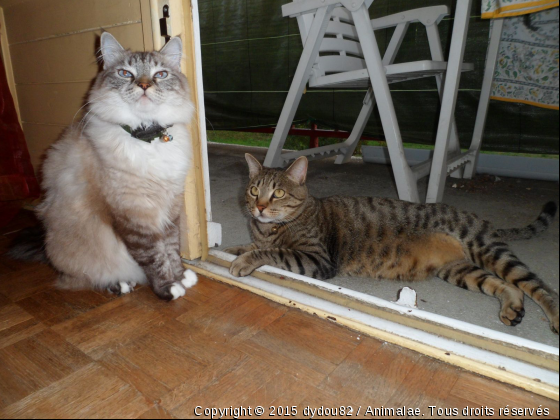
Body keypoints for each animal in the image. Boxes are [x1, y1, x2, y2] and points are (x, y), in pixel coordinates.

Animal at [8, 34, 197, 300]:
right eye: (125, 73)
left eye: (160, 74)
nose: (144, 86)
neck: (147, 139)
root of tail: (46, 248)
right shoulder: (133, 214)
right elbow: (153, 256)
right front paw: (168, 288)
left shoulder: (170, 206)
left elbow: (171, 248)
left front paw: (181, 277)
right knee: (86, 277)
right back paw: (121, 284)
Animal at [226, 153, 560, 334]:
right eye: (254, 190)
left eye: (279, 193)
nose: (259, 207)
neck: (267, 228)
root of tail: (481, 219)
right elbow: (250, 246)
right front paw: (232, 250)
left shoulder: (317, 259)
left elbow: (273, 251)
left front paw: (243, 261)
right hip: (460, 271)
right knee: (509, 287)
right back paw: (512, 308)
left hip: (488, 250)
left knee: (540, 288)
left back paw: (553, 316)